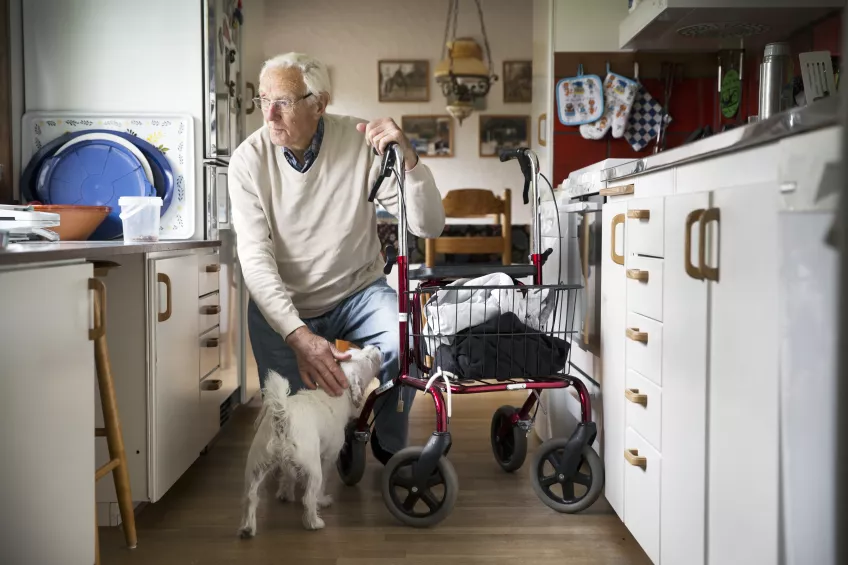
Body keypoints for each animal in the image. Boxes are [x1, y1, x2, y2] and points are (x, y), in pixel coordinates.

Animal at [240, 342, 382, 536]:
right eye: (367, 358)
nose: (376, 347)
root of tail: (283, 417)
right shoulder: (328, 457)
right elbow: (320, 484)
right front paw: (321, 500)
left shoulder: (288, 464)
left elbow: (288, 475)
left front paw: (285, 494)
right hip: (314, 470)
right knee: (308, 498)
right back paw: (315, 522)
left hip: (256, 466)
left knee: (250, 497)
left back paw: (248, 528)